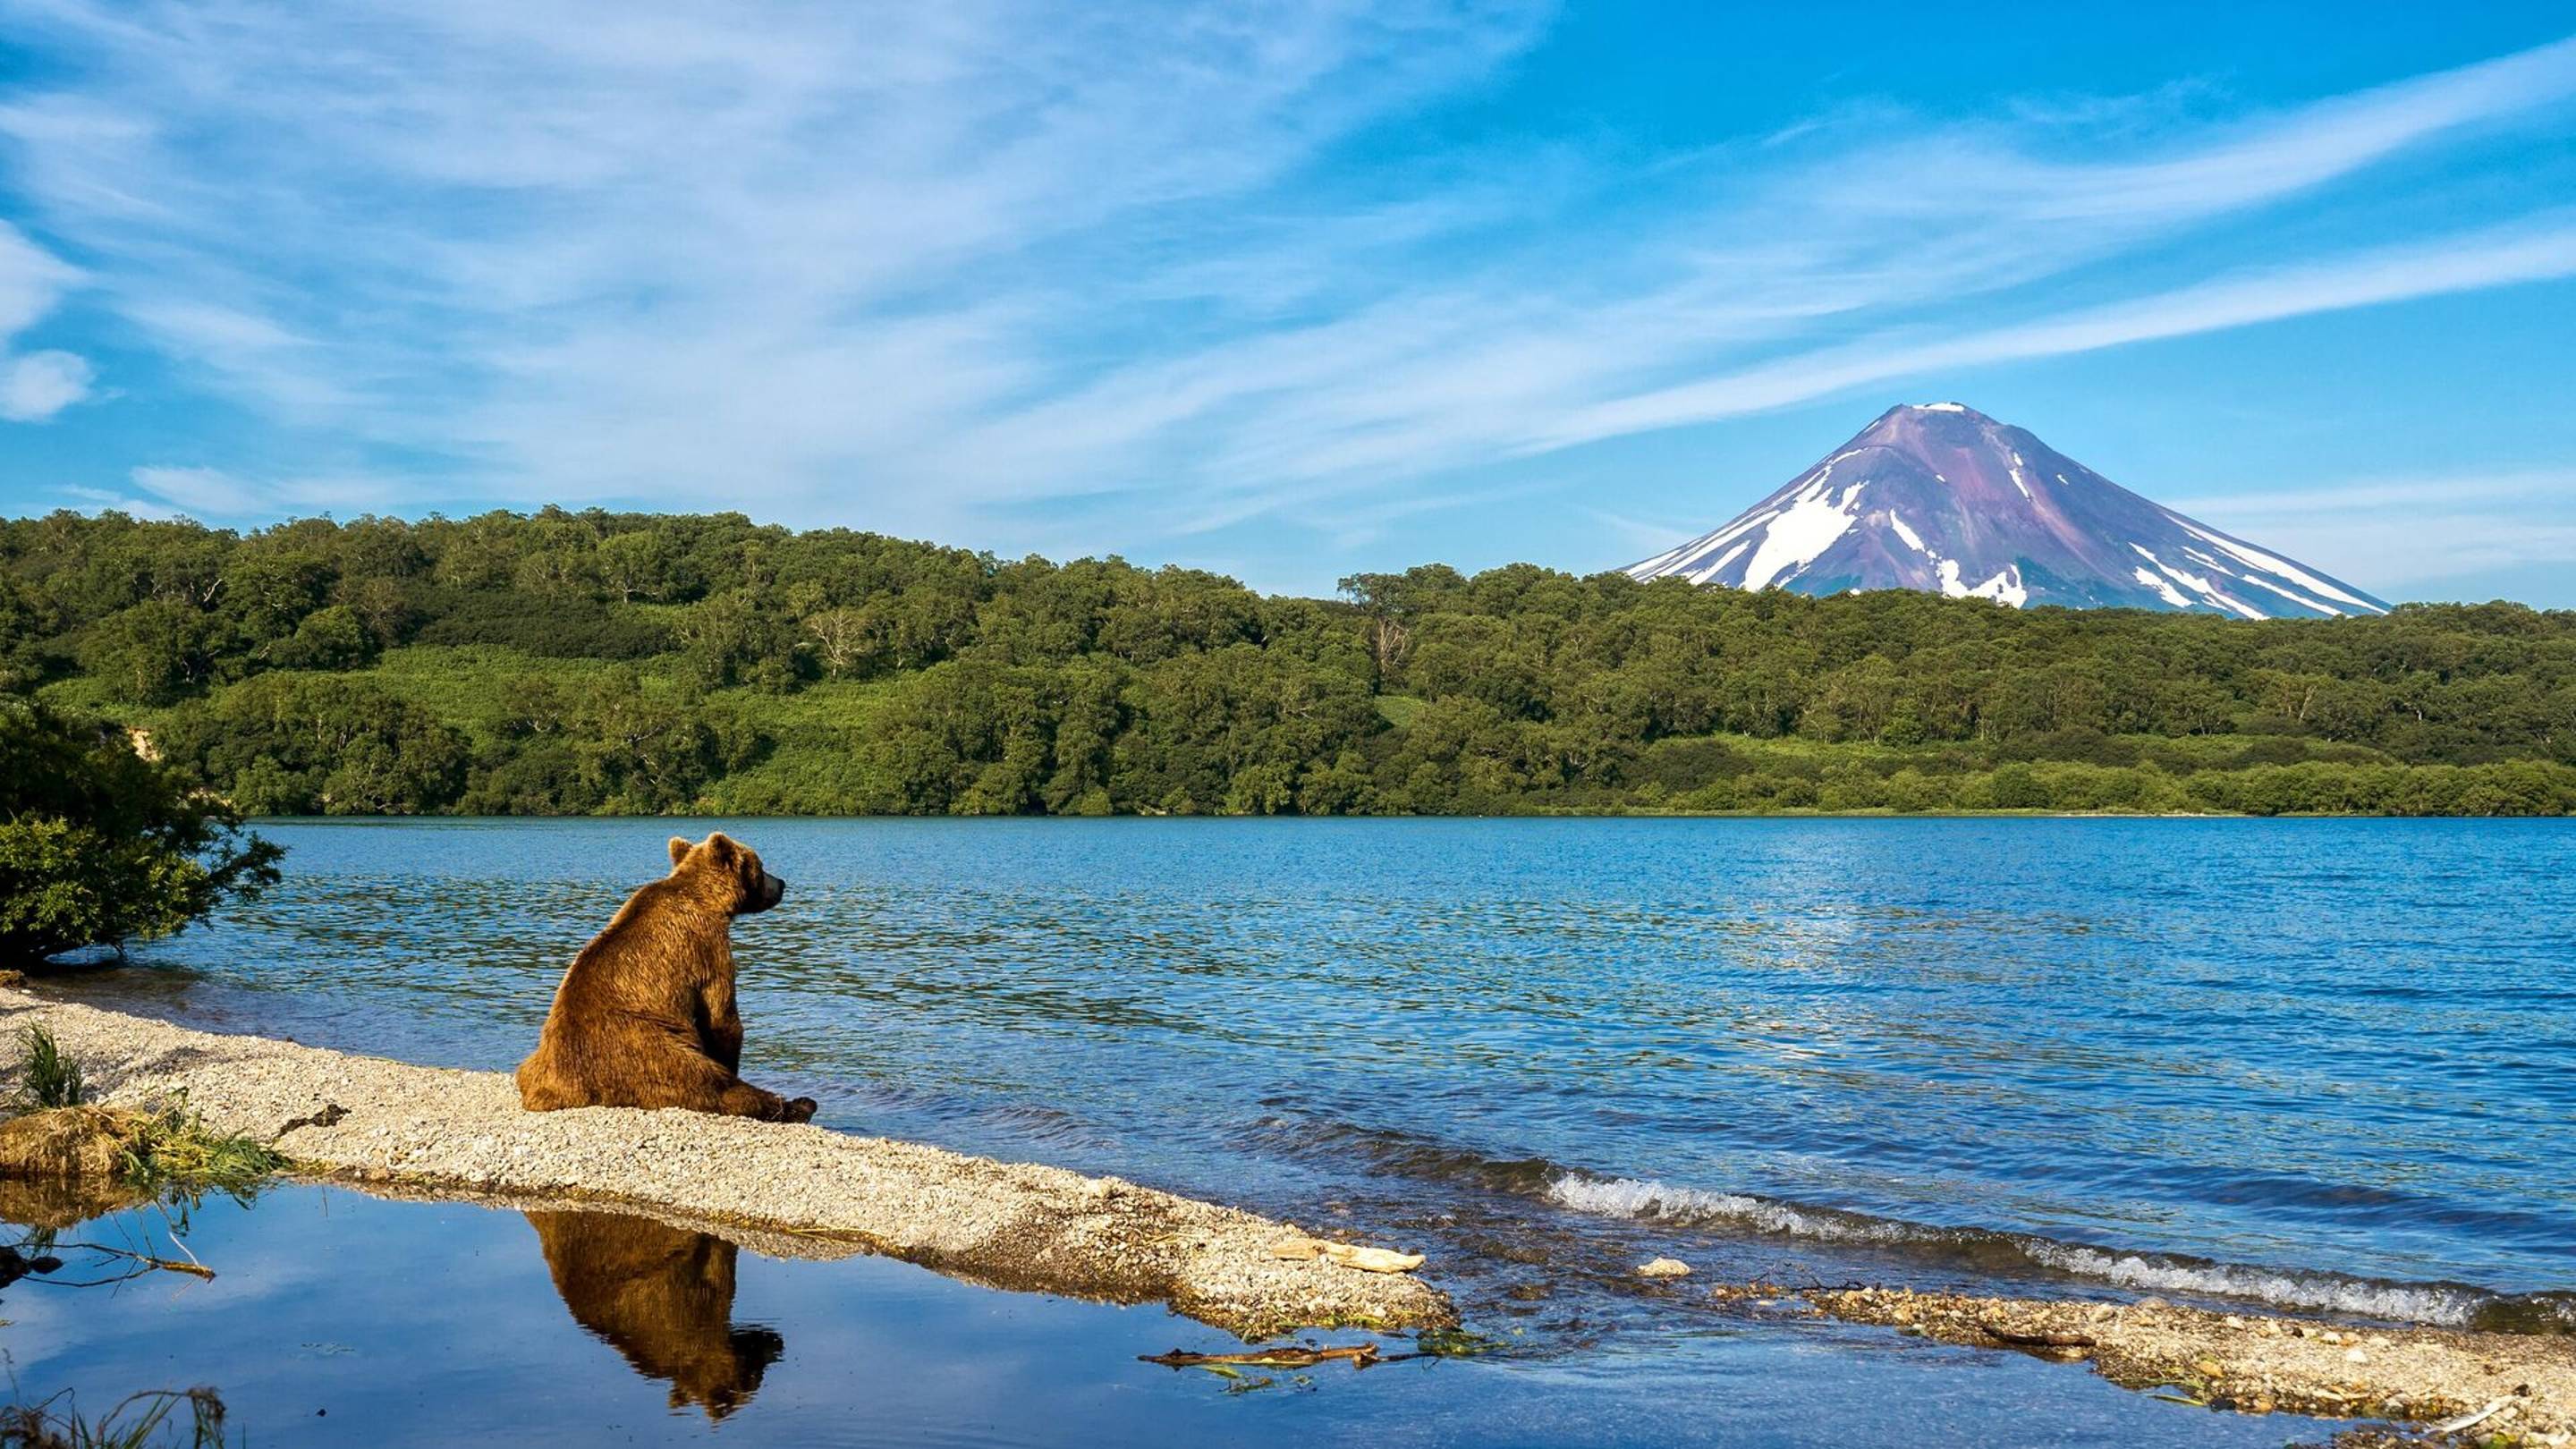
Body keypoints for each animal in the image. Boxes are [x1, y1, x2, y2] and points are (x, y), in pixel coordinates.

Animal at [515, 830, 814, 1123]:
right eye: (761, 867)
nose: (781, 883)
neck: (706, 897)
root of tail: (558, 1090)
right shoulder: (708, 946)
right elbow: (721, 1017)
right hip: (646, 1051)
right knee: (709, 1084)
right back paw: (799, 1105)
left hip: (538, 1059)